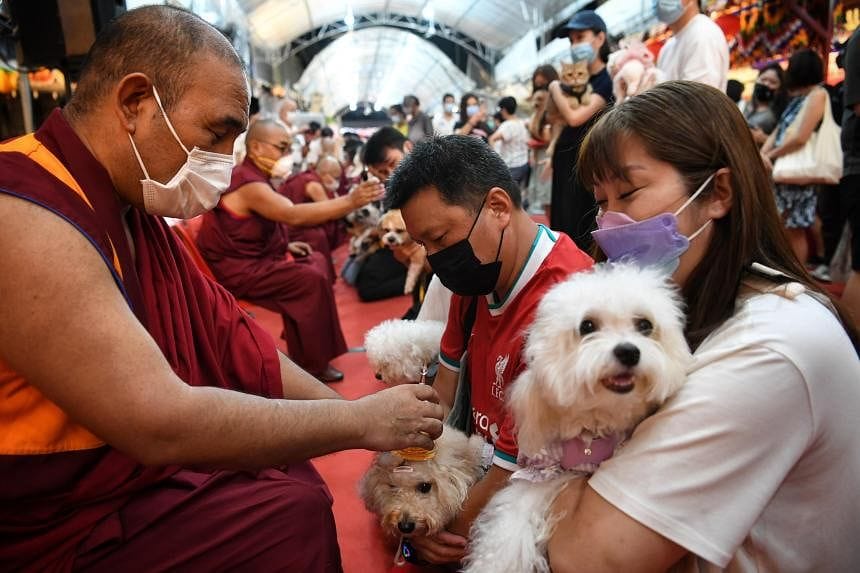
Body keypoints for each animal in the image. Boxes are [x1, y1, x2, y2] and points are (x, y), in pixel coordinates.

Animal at [464, 264, 692, 572]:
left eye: (645, 325)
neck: (593, 429)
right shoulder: (540, 475)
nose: (629, 352)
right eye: (587, 326)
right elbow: (505, 538)